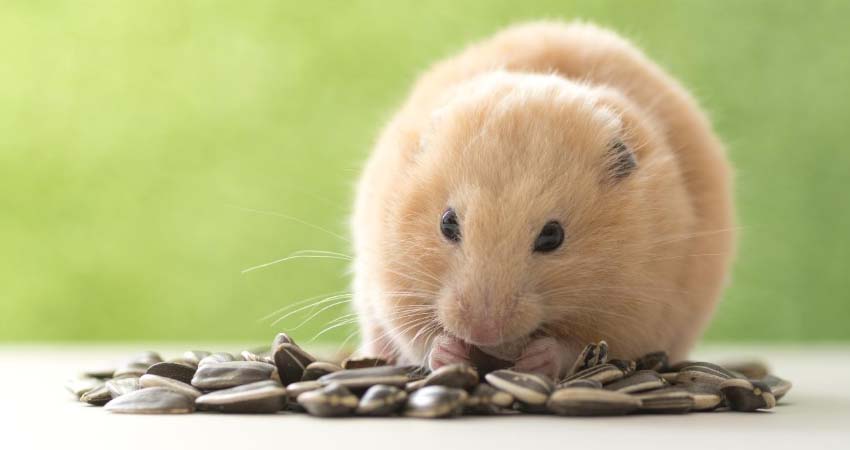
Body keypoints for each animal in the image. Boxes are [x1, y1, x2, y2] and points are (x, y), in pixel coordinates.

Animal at [348, 22, 732, 380]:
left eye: (552, 236)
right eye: (447, 223)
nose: (482, 331)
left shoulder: (639, 308)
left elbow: (580, 347)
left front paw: (535, 359)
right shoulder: (391, 280)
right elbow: (418, 337)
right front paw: (450, 352)